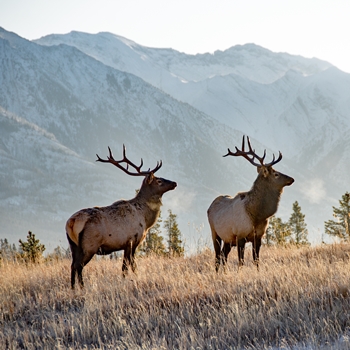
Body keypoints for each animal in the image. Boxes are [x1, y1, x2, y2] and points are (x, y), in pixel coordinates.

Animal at [65, 144, 178, 288]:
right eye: (159, 181)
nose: (174, 183)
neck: (146, 220)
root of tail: (71, 222)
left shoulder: (127, 244)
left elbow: (126, 266)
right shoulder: (131, 240)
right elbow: (130, 265)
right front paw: (132, 279)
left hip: (74, 246)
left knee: (72, 265)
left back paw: (73, 288)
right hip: (89, 245)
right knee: (79, 266)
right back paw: (82, 287)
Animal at [208, 136, 292, 270]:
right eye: (276, 174)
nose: (291, 179)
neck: (257, 215)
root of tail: (210, 207)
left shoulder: (258, 236)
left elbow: (256, 260)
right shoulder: (240, 235)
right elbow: (241, 261)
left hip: (228, 239)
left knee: (223, 255)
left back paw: (224, 272)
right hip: (215, 233)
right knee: (217, 257)